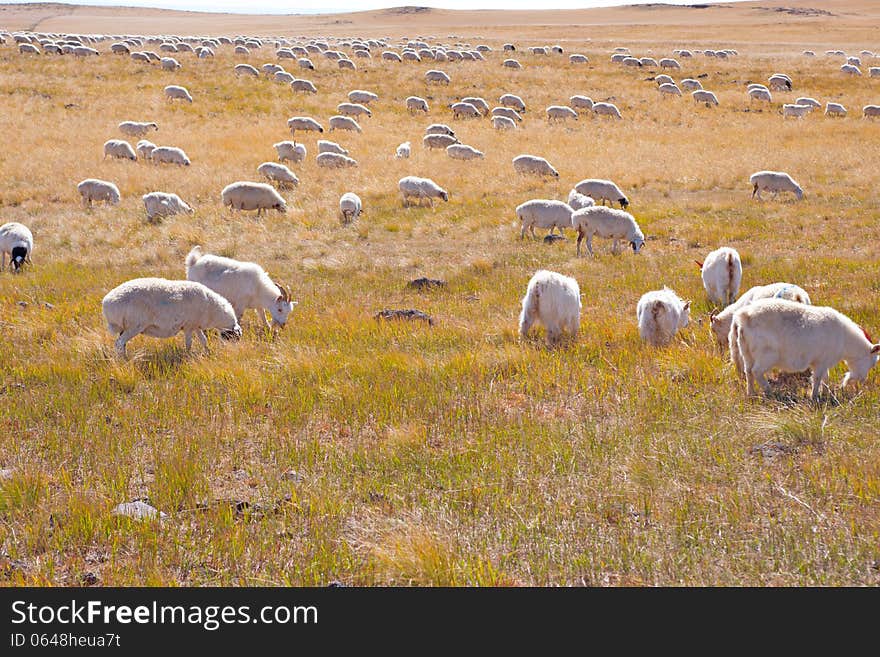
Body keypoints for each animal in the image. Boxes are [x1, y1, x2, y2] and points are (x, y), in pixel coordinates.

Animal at [102, 278, 242, 358]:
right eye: (235, 338)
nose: (233, 351)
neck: (213, 309)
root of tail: (107, 303)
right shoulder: (188, 326)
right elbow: (189, 343)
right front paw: (188, 355)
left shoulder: (196, 325)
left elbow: (203, 340)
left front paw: (207, 352)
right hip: (134, 326)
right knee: (119, 343)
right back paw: (123, 360)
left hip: (125, 327)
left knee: (122, 344)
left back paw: (124, 357)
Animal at [728, 298, 880, 400]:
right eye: (873, 363)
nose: (862, 380)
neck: (845, 339)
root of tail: (742, 318)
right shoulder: (821, 361)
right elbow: (817, 378)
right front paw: (814, 397)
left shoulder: (822, 362)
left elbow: (825, 377)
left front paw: (826, 393)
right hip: (766, 355)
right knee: (757, 371)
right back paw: (770, 392)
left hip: (746, 352)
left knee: (748, 372)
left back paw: (751, 394)